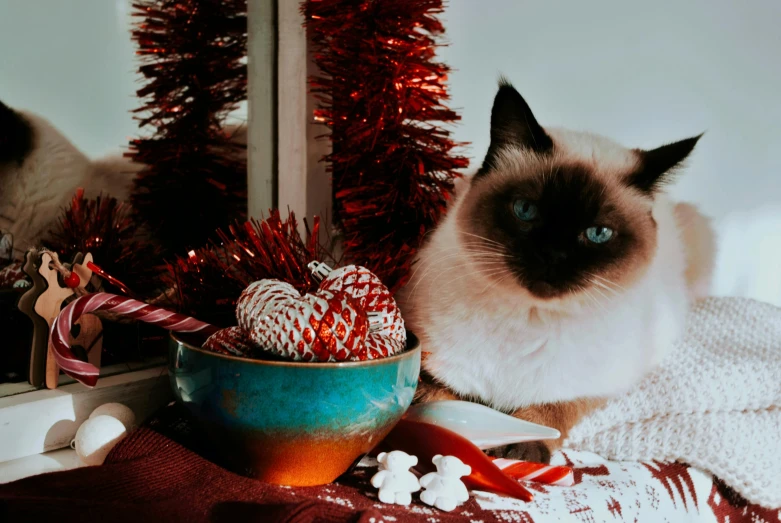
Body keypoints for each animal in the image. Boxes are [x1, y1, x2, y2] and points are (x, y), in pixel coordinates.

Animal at [400, 81, 716, 462]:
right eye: (526, 210)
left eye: (598, 233)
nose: (552, 255)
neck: (529, 319)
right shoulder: (431, 358)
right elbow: (438, 398)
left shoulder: (598, 385)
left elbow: (552, 409)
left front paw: (523, 447)